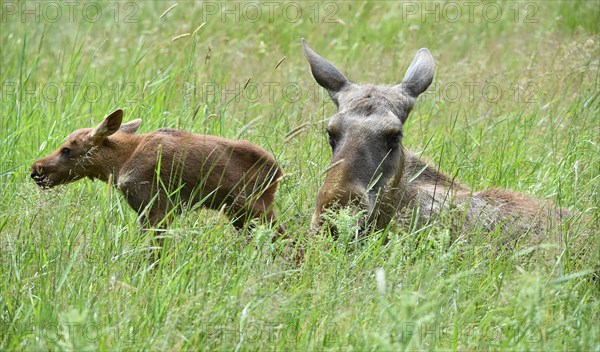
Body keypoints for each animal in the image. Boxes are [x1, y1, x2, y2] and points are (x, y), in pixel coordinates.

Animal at [28, 108, 282, 235]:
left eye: (67, 150)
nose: (35, 170)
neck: (118, 165)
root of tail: (278, 171)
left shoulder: (156, 209)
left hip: (254, 207)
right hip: (238, 214)